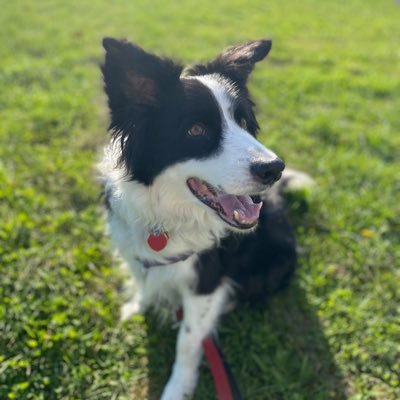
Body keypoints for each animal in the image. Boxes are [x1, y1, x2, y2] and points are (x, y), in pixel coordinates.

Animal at [100, 38, 312, 400]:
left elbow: (187, 342)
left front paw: (176, 389)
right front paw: (136, 307)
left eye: (244, 122)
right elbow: (143, 282)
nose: (275, 169)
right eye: (196, 130)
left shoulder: (206, 280)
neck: (168, 215)